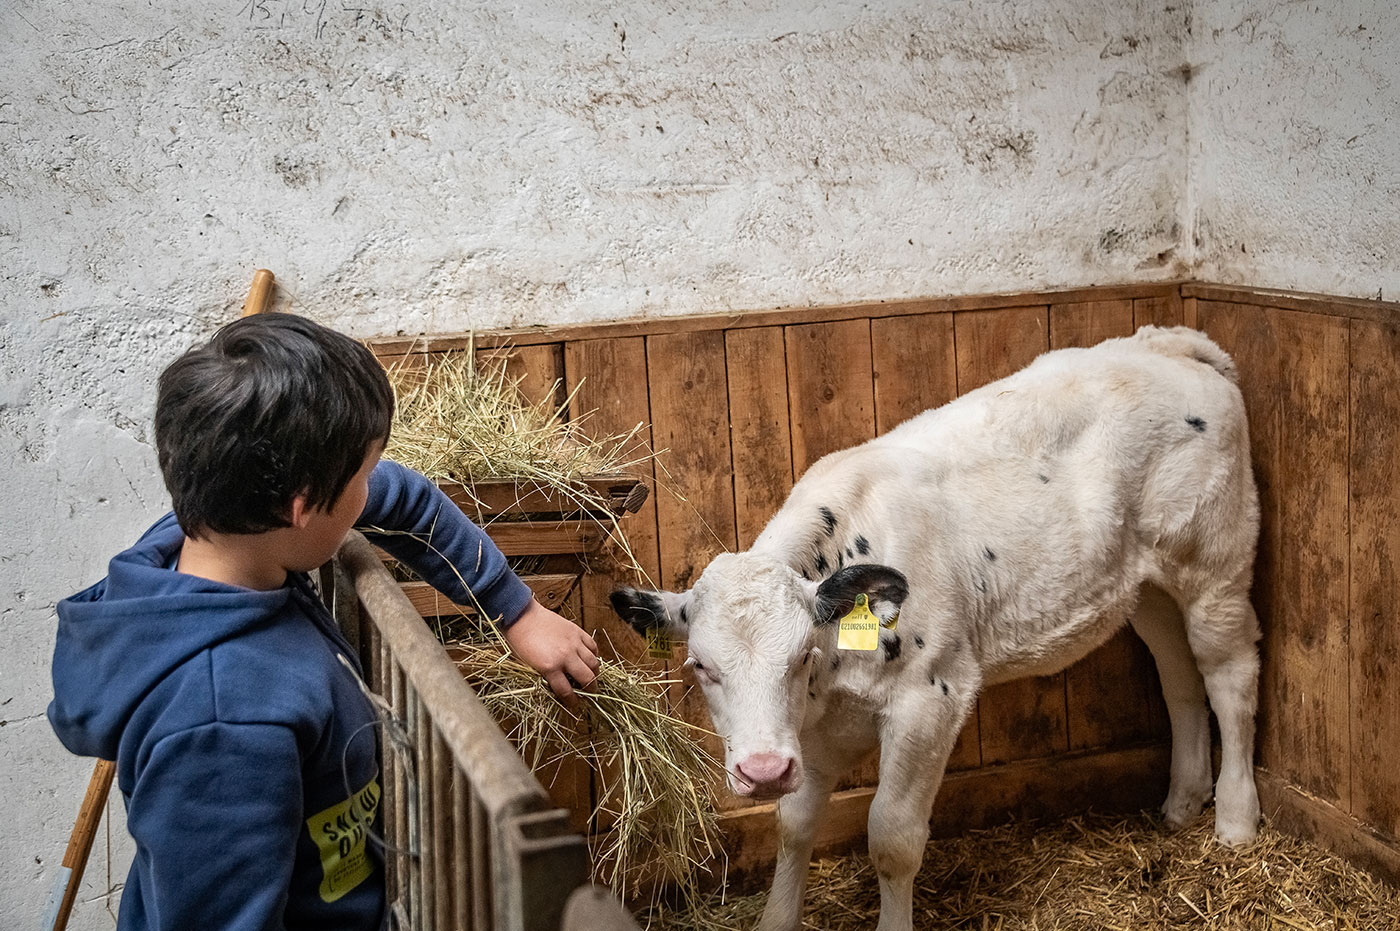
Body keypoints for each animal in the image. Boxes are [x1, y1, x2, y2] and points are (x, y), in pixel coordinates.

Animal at [607, 324, 1265, 929]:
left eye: (800, 656)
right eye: (700, 667)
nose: (763, 771)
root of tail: (1163, 343)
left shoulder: (932, 698)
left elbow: (892, 838)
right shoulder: (810, 728)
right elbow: (794, 825)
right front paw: (776, 918)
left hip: (1215, 564)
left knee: (1228, 676)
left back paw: (1235, 819)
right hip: (1149, 587)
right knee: (1180, 677)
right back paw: (1183, 801)